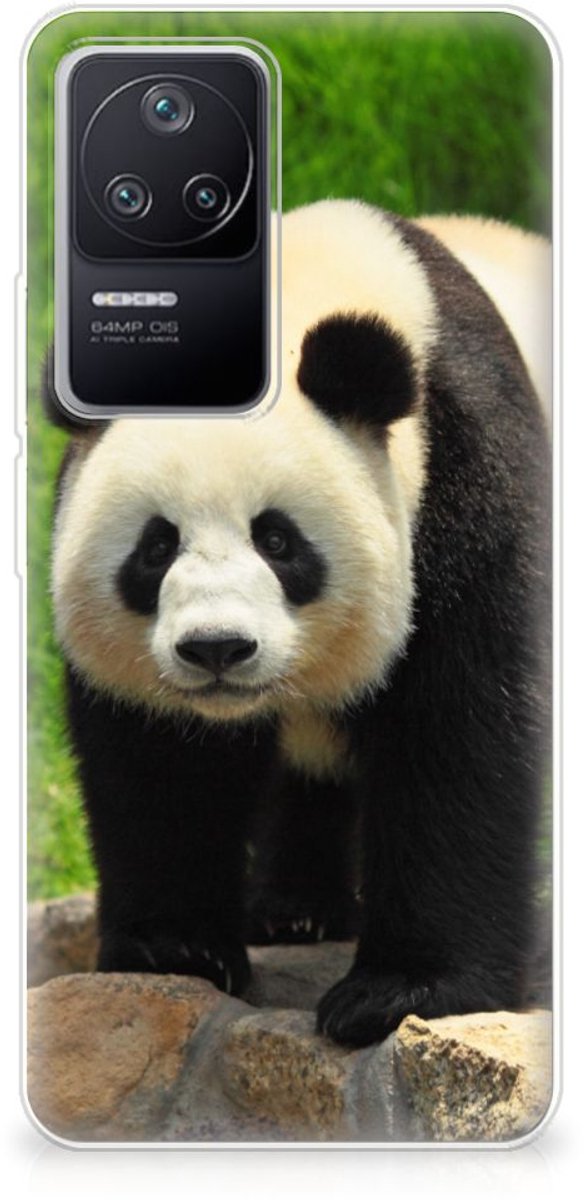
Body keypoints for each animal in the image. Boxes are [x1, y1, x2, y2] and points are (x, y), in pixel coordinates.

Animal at [47, 201, 551, 1048]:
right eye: (156, 546)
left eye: (278, 540)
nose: (217, 648)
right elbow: (160, 763)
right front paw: (175, 948)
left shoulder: (468, 480)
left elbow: (459, 733)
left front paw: (400, 991)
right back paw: (294, 911)